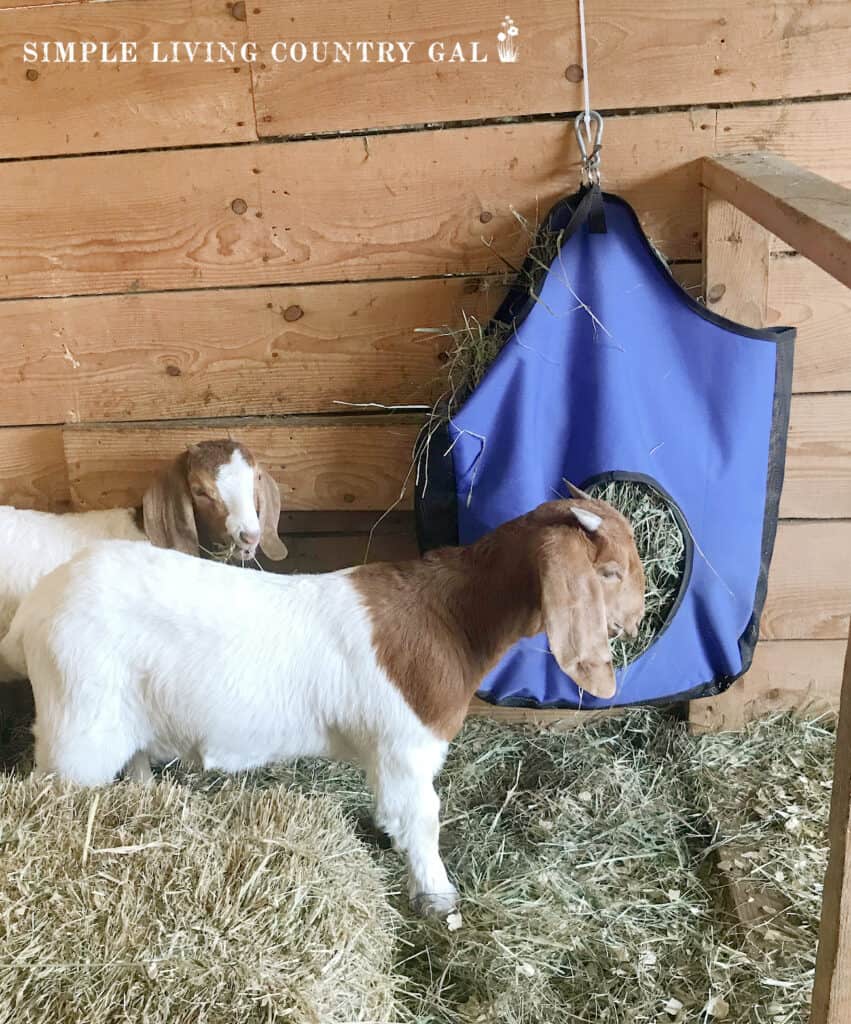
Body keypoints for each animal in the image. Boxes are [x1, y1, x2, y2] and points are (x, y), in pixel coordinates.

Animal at [0, 489, 647, 921]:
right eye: (610, 572)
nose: (639, 620)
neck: (450, 616)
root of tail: (35, 609)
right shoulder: (406, 751)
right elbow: (421, 822)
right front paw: (440, 899)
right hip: (76, 729)